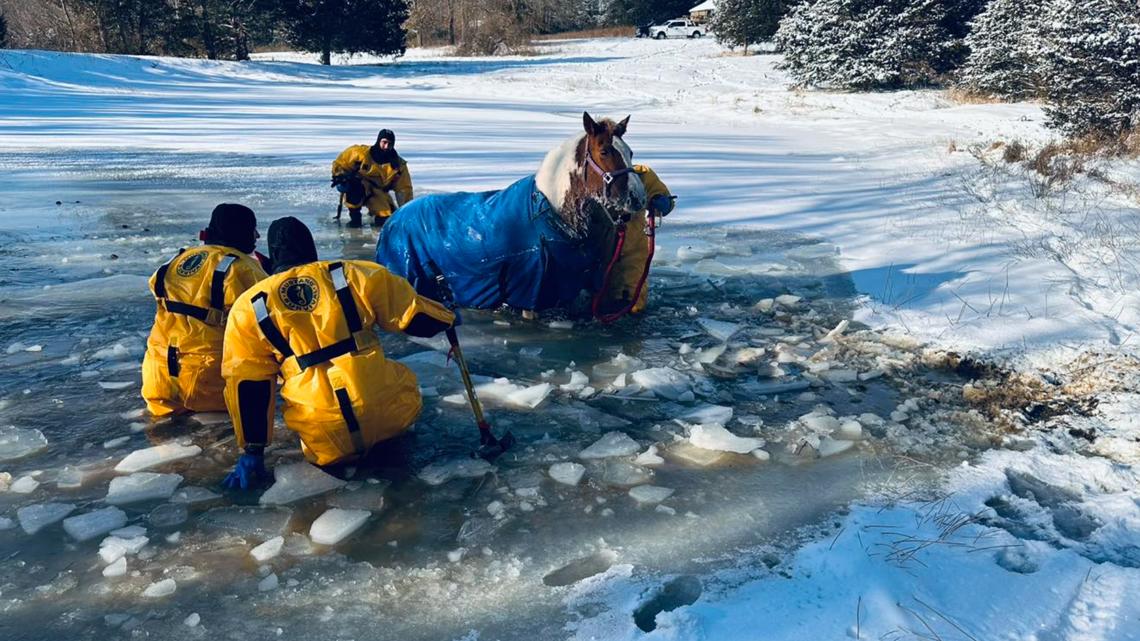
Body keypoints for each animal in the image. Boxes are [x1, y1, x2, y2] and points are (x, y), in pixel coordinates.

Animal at [374, 112, 649, 319]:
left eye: (630, 153)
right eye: (604, 151)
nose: (638, 198)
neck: (551, 216)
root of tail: (394, 218)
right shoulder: (530, 292)